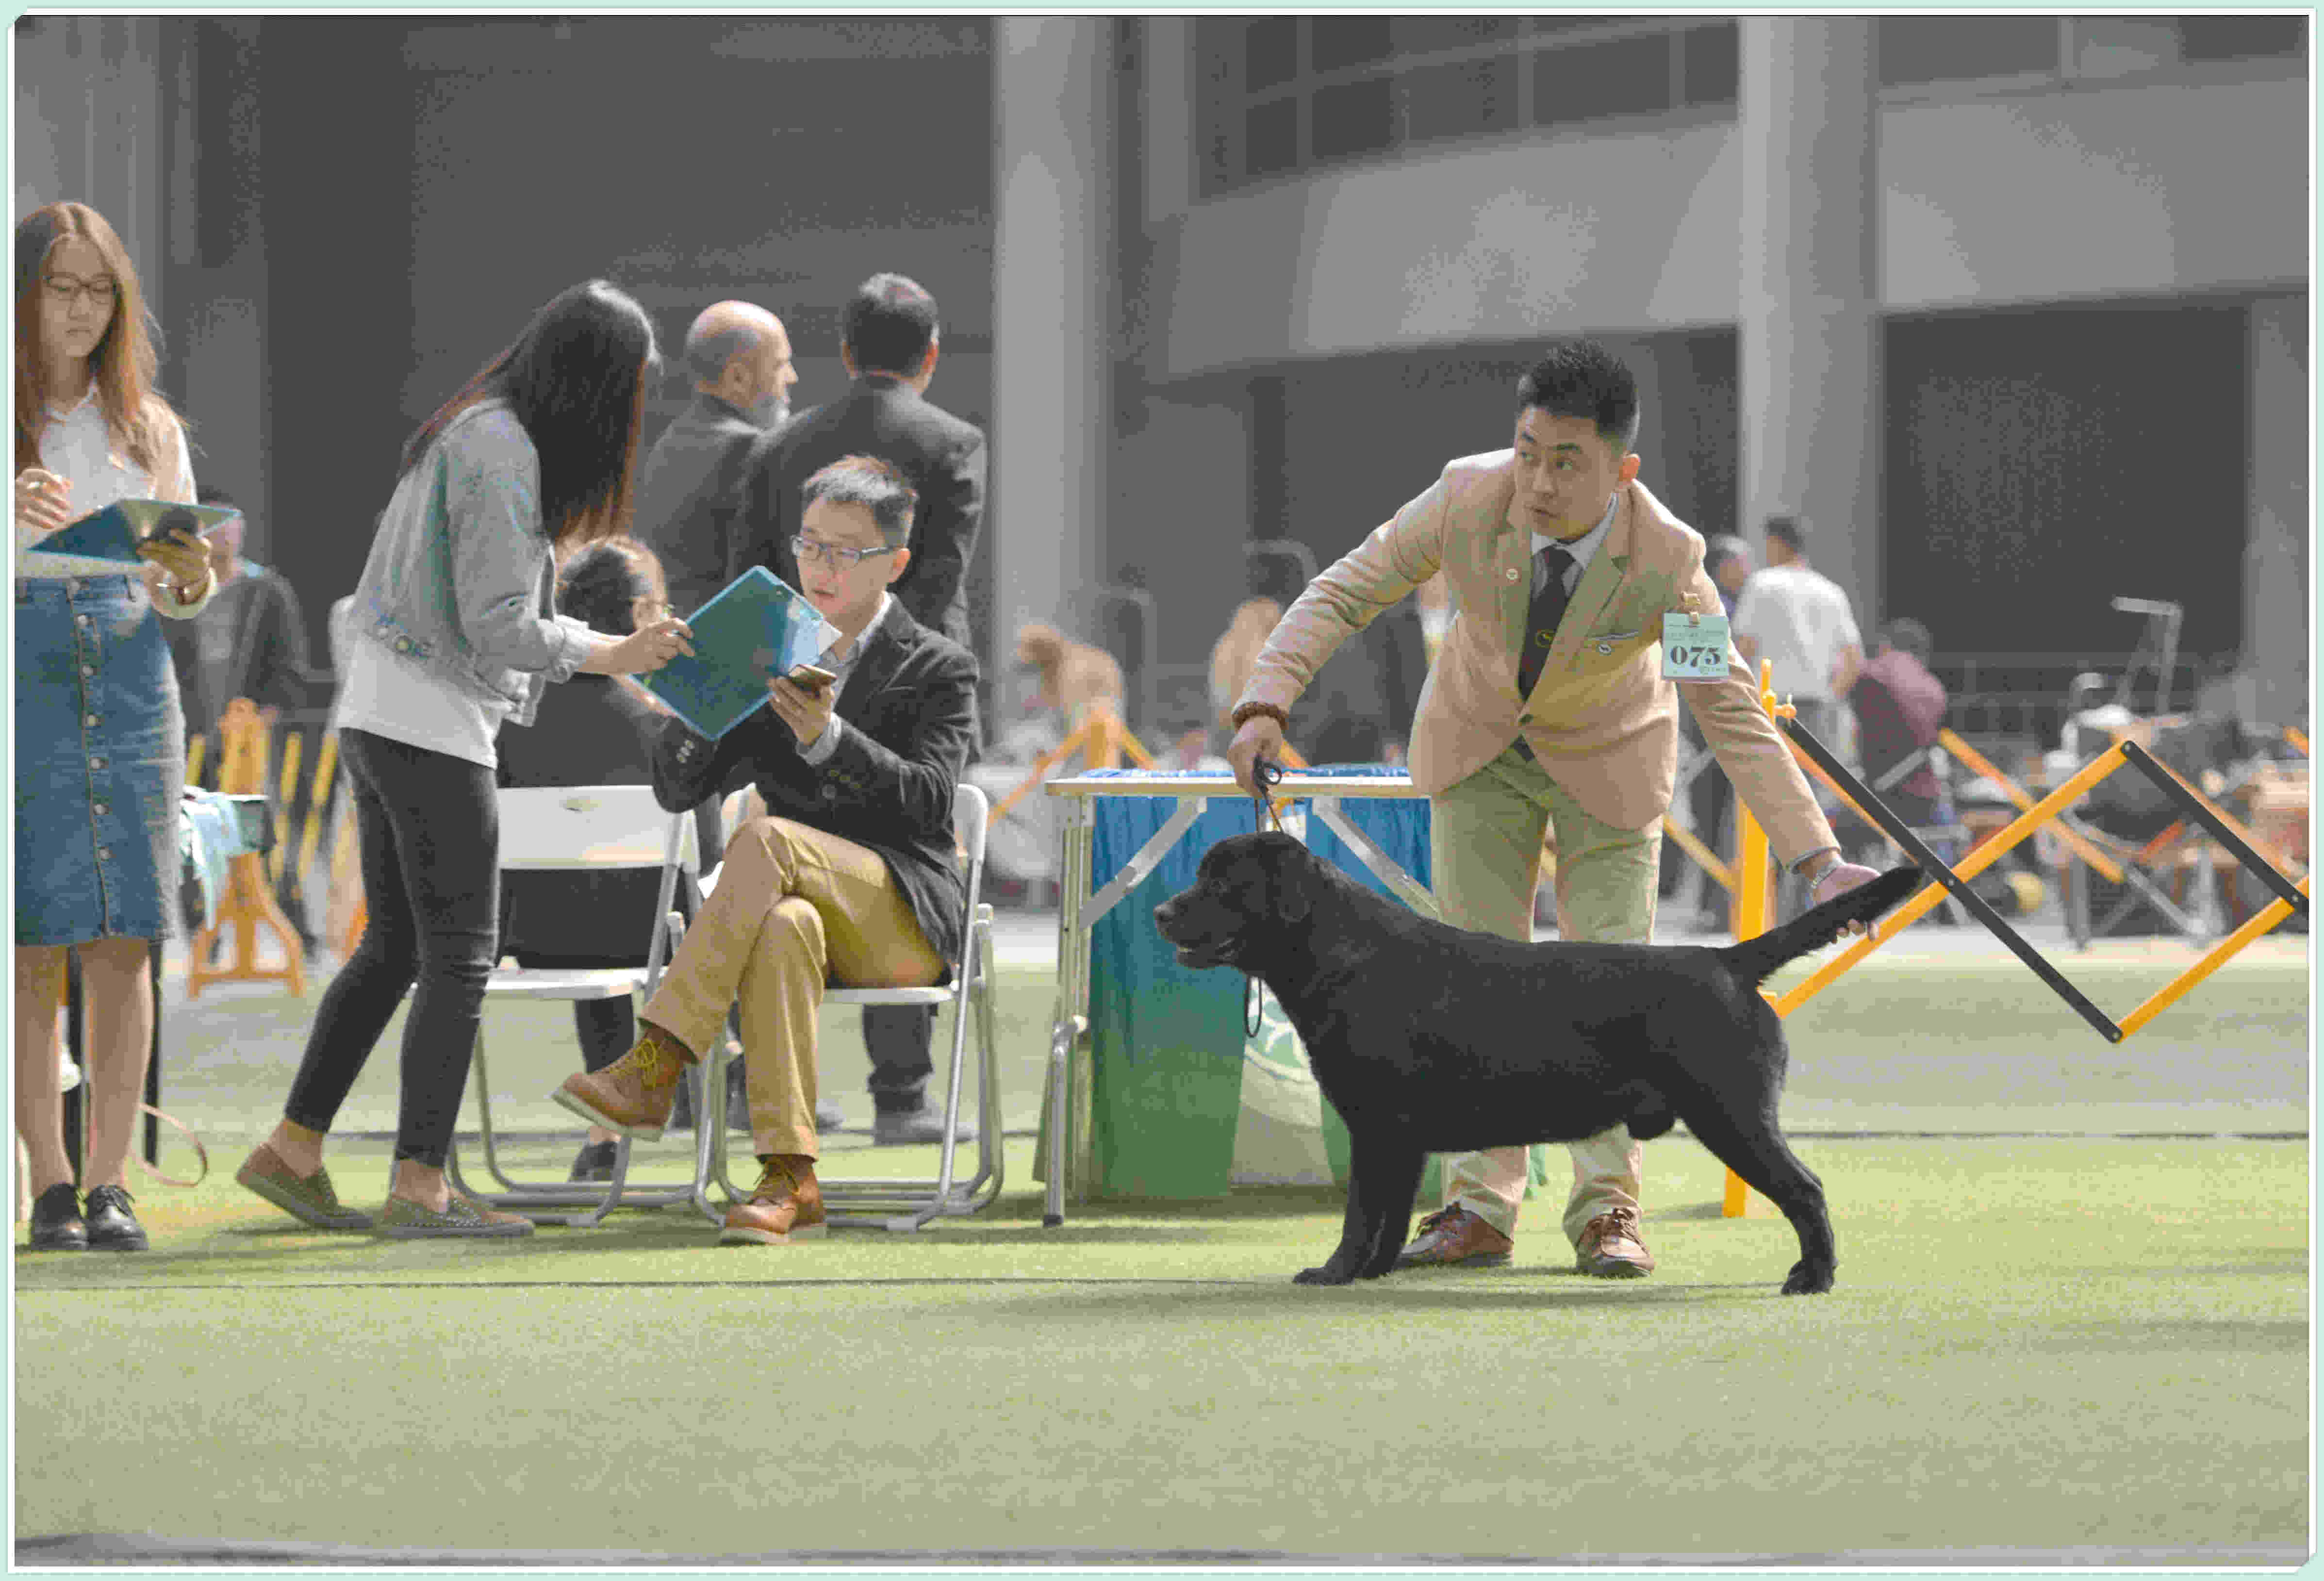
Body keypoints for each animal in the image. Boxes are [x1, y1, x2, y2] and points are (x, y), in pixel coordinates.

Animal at [1153, 832, 1915, 1292]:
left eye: (1222, 882)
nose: (1160, 912)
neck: (1344, 955)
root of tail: (1728, 961)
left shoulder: (1376, 1128)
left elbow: (1359, 1214)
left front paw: (1333, 1272)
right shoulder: (1399, 1139)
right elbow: (1388, 1219)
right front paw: (1373, 1272)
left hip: (1732, 1114)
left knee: (1806, 1190)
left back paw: (1813, 1276)